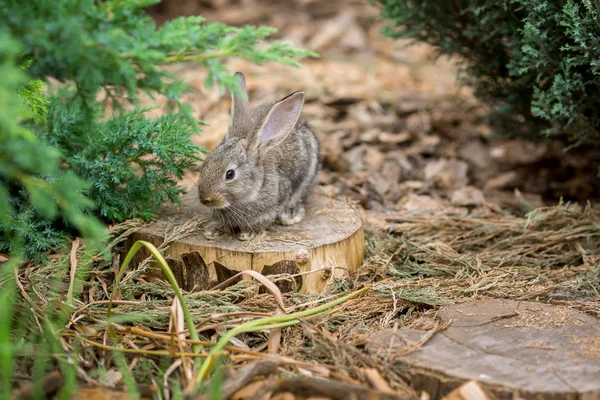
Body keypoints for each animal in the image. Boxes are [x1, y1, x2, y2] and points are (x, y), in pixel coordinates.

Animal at [197, 72, 322, 241]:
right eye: (206, 163)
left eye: (230, 174)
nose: (205, 199)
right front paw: (214, 230)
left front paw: (249, 233)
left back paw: (291, 214)